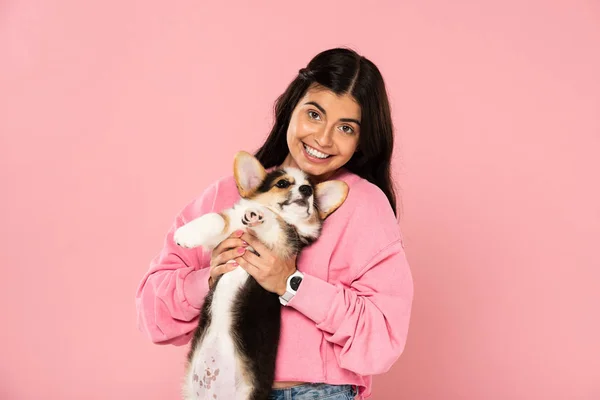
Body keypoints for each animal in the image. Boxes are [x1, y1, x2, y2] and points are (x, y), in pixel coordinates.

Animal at [172, 151, 346, 400]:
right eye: (282, 184)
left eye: (310, 190)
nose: (306, 190)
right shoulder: (226, 238)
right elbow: (217, 218)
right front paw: (185, 234)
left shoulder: (285, 242)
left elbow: (276, 223)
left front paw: (259, 214)